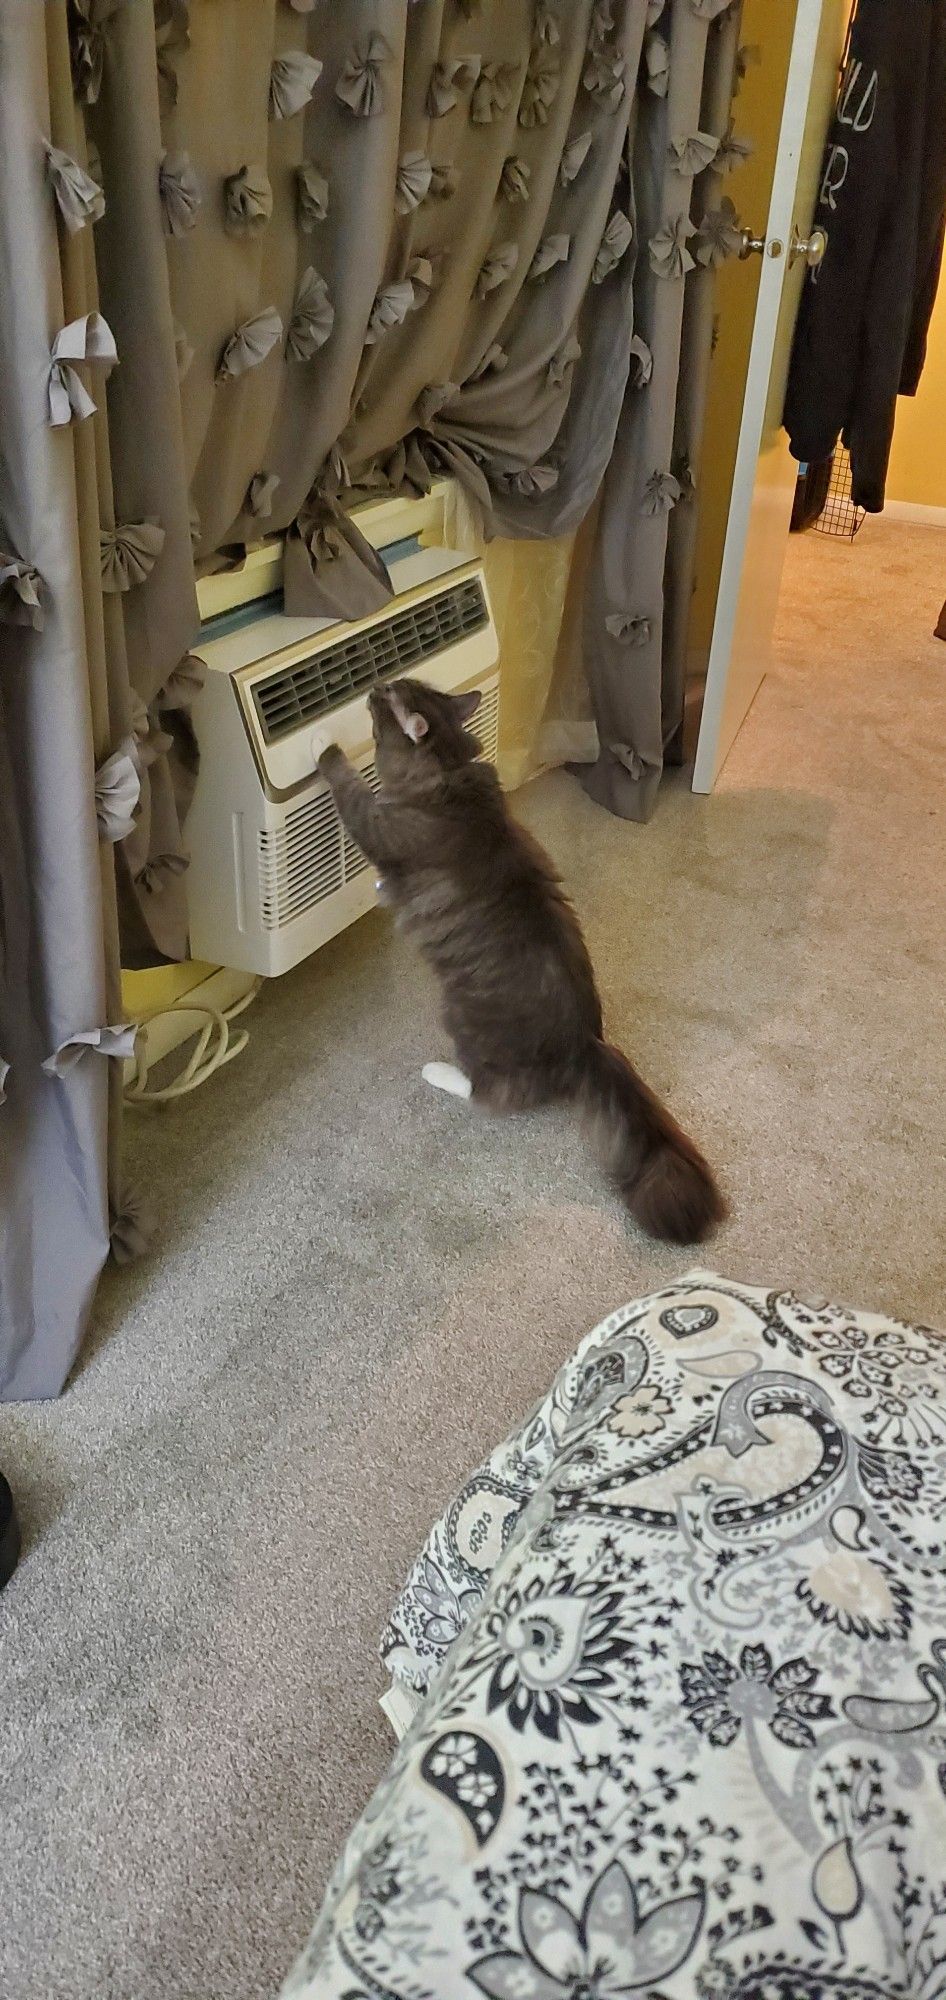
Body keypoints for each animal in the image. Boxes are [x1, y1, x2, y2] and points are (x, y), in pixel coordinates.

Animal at [318, 680, 724, 1240]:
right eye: (400, 686)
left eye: (387, 698)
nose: (377, 684)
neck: (448, 772)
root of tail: (584, 1042)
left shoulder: (377, 824)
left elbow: (350, 787)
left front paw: (325, 746)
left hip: (457, 1015)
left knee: (485, 1093)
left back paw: (438, 1072)